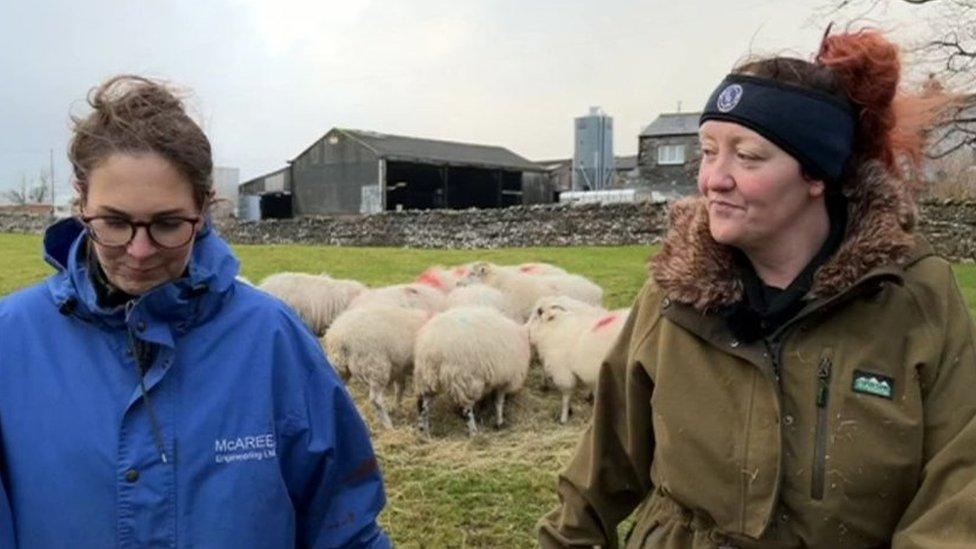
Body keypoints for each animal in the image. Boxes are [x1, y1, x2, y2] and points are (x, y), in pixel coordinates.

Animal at [414, 304, 528, 436]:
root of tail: (432, 347)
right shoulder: (505, 378)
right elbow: (499, 402)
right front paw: (499, 421)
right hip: (464, 378)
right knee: (466, 409)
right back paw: (473, 432)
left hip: (426, 376)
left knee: (422, 404)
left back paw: (425, 433)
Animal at [528, 296, 628, 424]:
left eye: (536, 317)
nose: (526, 331)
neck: (555, 330)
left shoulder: (563, 373)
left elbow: (566, 397)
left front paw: (564, 417)